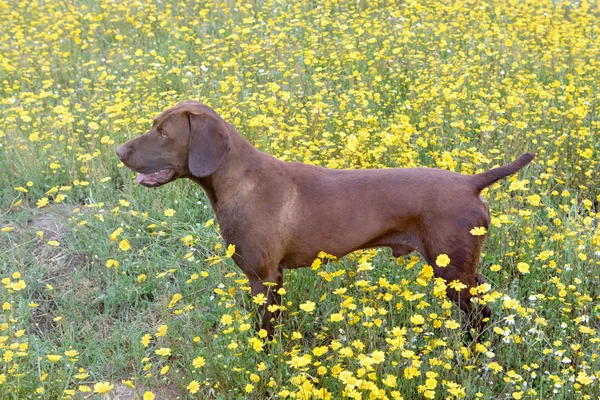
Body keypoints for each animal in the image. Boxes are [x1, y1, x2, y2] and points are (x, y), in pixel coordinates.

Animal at [117, 100, 536, 334]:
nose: (119, 151)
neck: (239, 181)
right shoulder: (274, 278)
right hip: (464, 271)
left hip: (452, 272)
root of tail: (470, 183)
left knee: (480, 317)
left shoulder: (262, 277)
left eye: (163, 133)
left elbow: (264, 334)